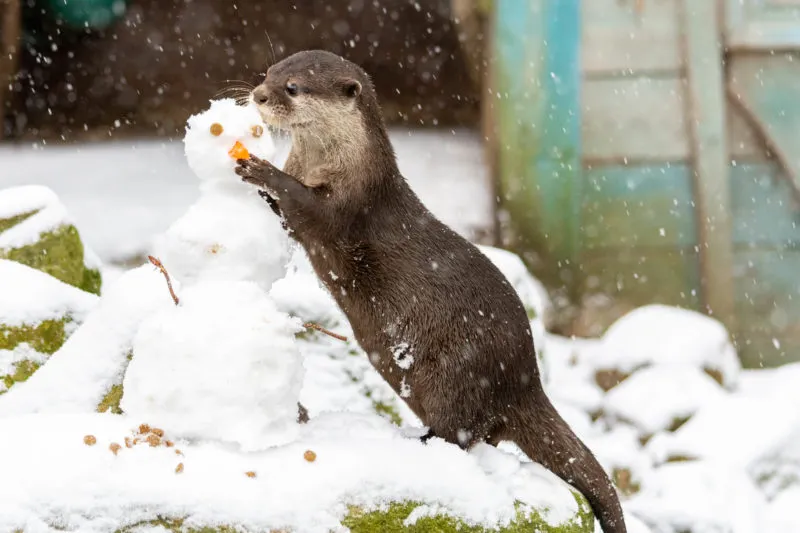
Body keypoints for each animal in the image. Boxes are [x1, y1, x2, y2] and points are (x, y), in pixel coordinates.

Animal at [236, 50, 626, 533]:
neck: (340, 165)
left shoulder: (351, 205)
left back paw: (419, 440)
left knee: (462, 432)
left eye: (292, 87)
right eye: (269, 73)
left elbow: (308, 208)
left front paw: (259, 169)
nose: (258, 95)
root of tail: (525, 383)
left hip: (457, 372)